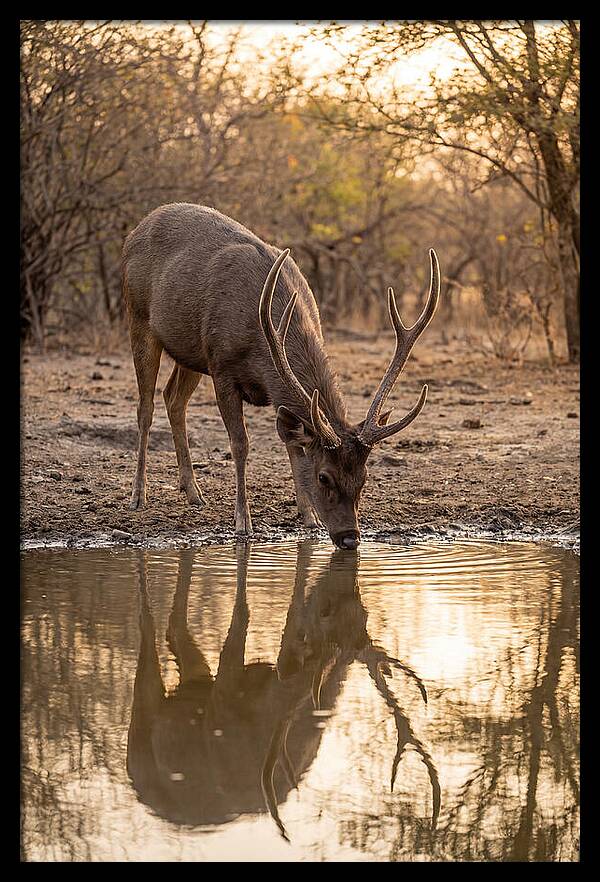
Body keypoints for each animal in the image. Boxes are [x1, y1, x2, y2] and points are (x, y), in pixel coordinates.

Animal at [122, 204, 440, 549]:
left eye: (364, 477)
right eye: (324, 476)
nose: (350, 538)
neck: (261, 341)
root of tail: (136, 230)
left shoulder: (263, 384)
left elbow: (293, 445)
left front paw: (309, 517)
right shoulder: (221, 367)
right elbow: (241, 443)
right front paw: (243, 523)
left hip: (190, 352)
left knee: (173, 398)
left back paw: (193, 492)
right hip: (139, 318)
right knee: (145, 407)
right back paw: (139, 495)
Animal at [126, 541, 440, 840]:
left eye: (365, 613)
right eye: (326, 611)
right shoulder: (222, 703)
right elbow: (244, 616)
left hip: (195, 683)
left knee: (175, 632)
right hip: (142, 731)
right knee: (147, 643)